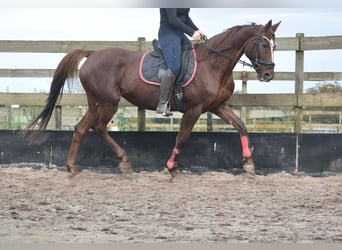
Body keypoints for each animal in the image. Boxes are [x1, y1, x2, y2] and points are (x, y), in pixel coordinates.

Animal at [20, 20, 280, 179]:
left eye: (274, 45)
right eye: (263, 44)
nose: (268, 75)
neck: (214, 64)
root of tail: (92, 54)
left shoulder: (217, 106)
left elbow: (241, 125)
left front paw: (249, 164)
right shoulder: (194, 109)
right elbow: (182, 137)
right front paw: (170, 167)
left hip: (96, 102)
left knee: (82, 128)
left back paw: (73, 168)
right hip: (108, 102)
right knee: (98, 127)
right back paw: (122, 161)